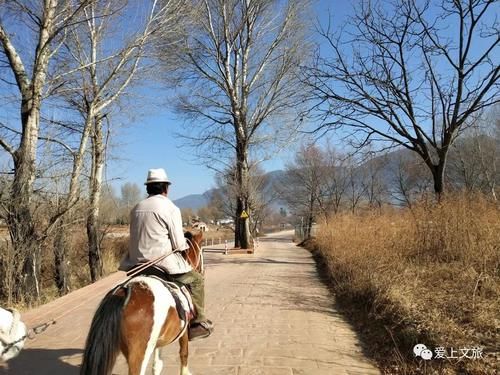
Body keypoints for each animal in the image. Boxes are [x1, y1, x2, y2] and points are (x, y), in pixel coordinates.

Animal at [79, 232, 203, 375]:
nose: (201, 270)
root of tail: (123, 291)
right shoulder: (183, 332)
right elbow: (184, 353)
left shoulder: (159, 340)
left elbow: (157, 365)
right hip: (139, 354)